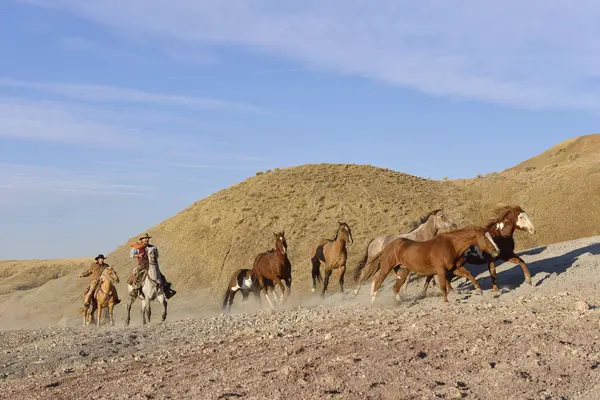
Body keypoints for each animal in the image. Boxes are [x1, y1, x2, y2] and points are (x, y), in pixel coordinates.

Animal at [360, 225, 502, 304]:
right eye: (485, 238)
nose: (497, 251)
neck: (450, 245)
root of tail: (388, 246)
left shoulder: (454, 268)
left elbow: (469, 275)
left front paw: (479, 290)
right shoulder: (440, 270)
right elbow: (443, 285)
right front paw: (446, 301)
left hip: (403, 270)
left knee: (396, 287)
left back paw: (400, 301)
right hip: (386, 267)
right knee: (378, 281)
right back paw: (373, 302)